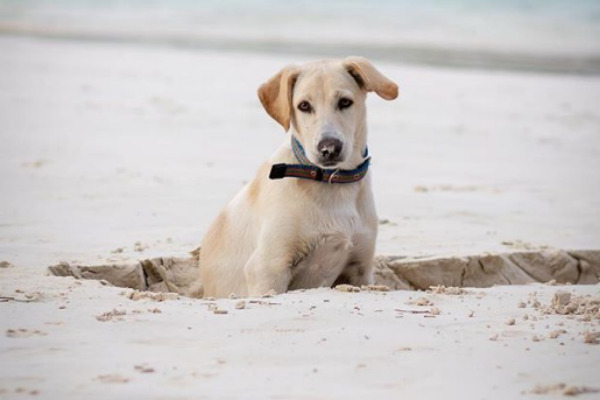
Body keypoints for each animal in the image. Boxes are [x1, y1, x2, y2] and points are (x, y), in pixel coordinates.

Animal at [197, 56, 400, 296]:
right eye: (304, 106)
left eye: (345, 102)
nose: (329, 148)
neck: (331, 182)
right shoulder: (268, 268)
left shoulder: (360, 270)